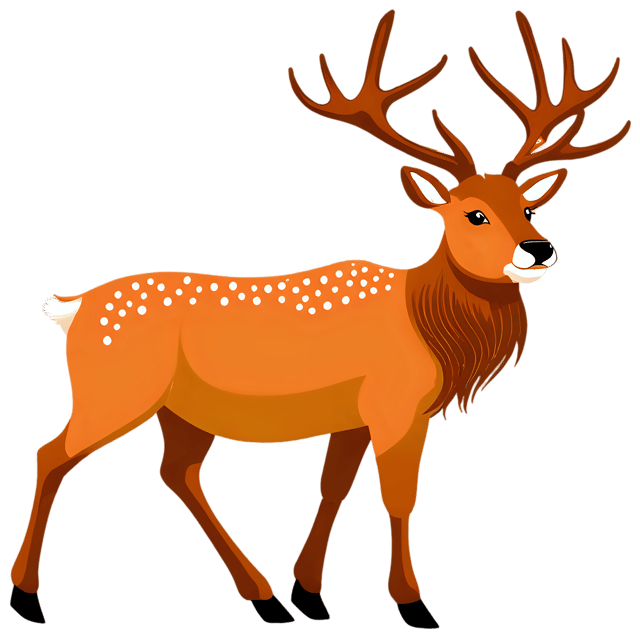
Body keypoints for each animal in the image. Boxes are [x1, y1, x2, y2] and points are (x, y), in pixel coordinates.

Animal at [10, 9, 630, 630]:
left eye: (528, 207)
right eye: (473, 214)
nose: (539, 248)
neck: (429, 330)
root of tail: (71, 309)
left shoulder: (352, 414)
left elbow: (334, 488)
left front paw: (309, 592)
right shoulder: (395, 404)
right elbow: (398, 497)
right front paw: (412, 603)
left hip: (178, 410)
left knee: (176, 473)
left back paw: (264, 597)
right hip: (112, 390)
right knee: (51, 456)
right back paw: (26, 597)